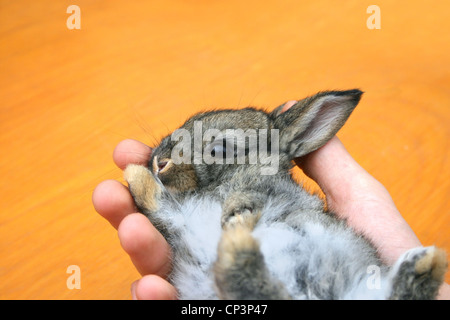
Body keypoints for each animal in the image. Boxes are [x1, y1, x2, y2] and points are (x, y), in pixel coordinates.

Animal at [123, 90, 446, 300]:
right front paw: (134, 173)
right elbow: (155, 201)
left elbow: (249, 195)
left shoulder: (261, 188)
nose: (159, 161)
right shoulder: (178, 217)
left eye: (220, 149)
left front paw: (236, 215)